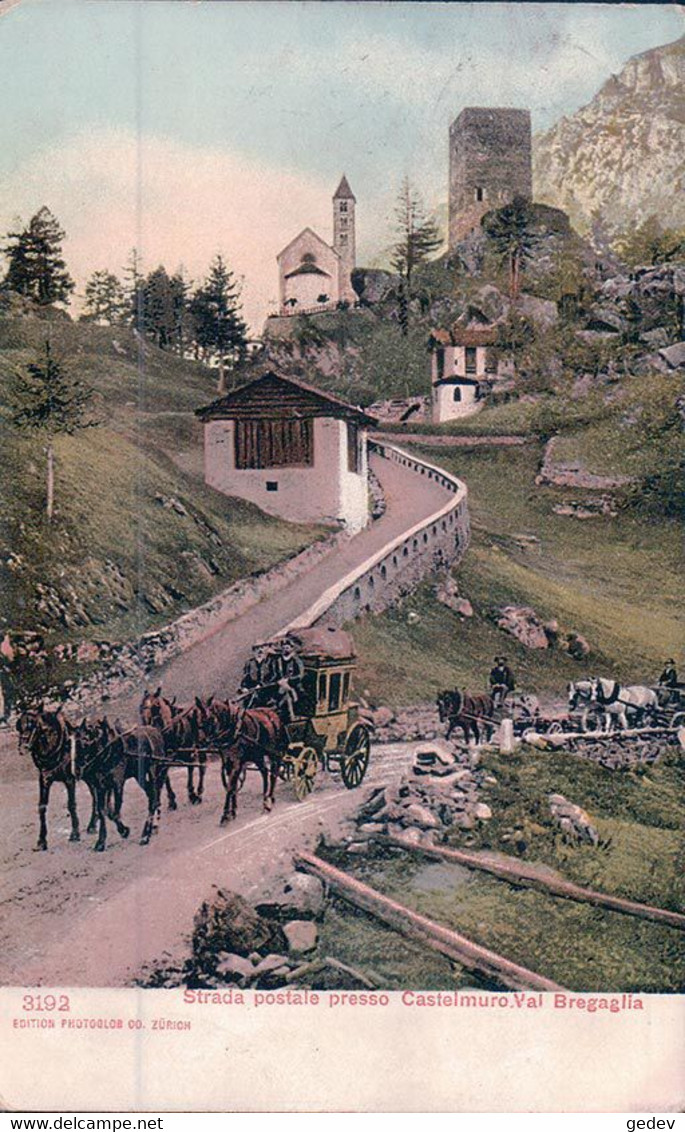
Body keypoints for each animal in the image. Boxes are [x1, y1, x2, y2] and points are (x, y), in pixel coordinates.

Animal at [15, 701, 99, 851]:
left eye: (33, 724)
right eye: (19, 726)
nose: (23, 748)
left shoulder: (69, 779)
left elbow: (71, 804)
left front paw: (75, 834)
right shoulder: (44, 779)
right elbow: (42, 806)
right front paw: (42, 841)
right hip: (87, 775)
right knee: (95, 794)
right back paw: (92, 824)